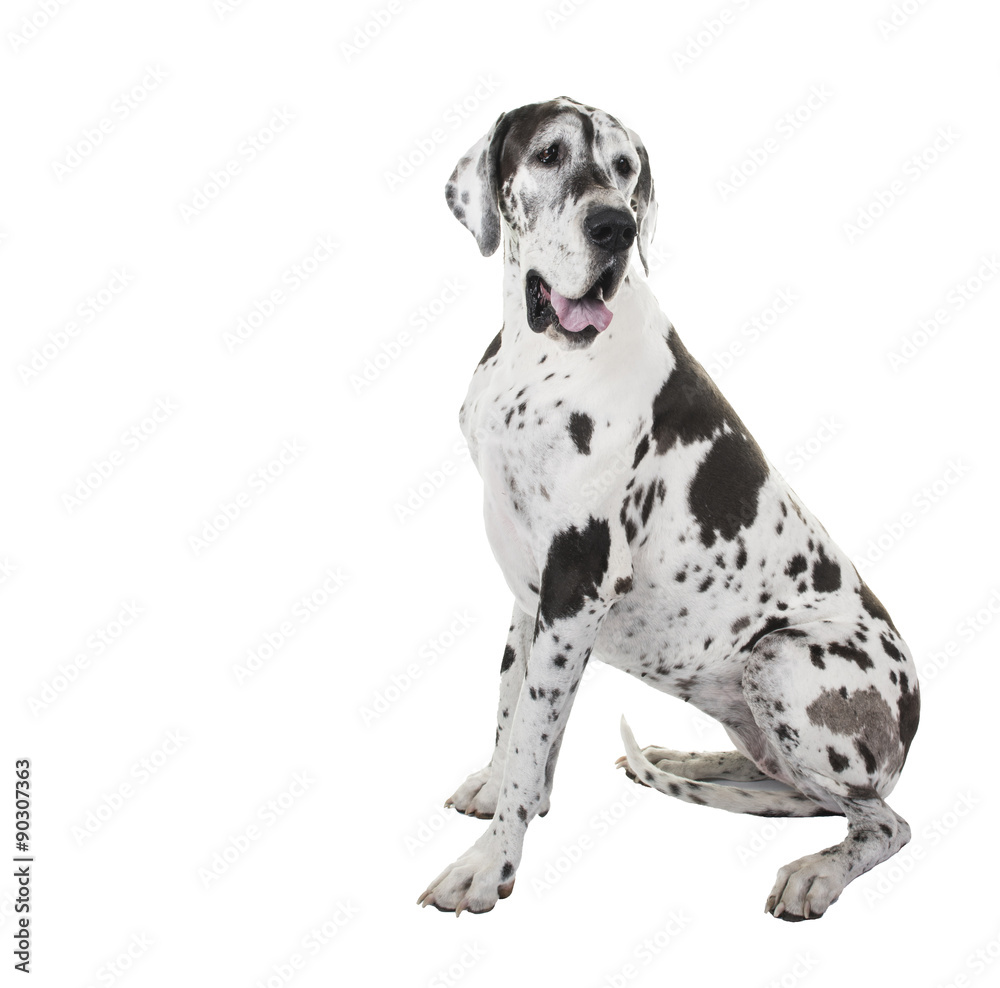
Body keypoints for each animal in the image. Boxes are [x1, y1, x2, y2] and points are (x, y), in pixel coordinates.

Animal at [416, 96, 920, 924]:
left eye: (625, 168)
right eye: (550, 153)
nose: (614, 227)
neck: (537, 359)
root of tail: (911, 731)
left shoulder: (577, 582)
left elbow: (531, 732)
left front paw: (490, 864)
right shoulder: (533, 586)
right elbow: (514, 712)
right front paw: (498, 793)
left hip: (781, 659)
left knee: (881, 821)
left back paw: (817, 872)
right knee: (792, 784)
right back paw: (687, 756)